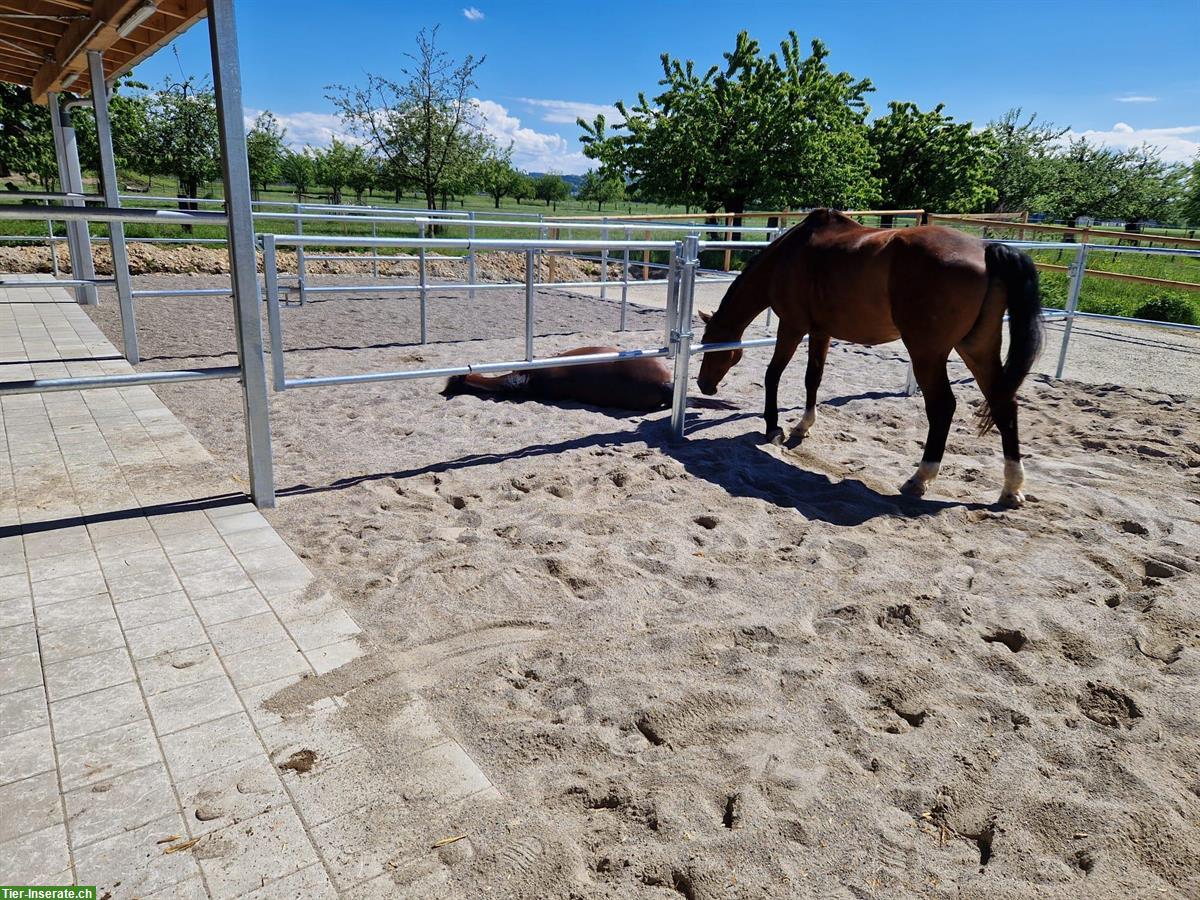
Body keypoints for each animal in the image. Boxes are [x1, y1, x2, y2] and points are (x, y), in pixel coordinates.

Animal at [696, 207, 1041, 511]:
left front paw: (773, 428)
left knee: (943, 406)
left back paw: (920, 478)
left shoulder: (792, 327)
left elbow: (773, 374)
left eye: (709, 346)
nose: (704, 385)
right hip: (976, 348)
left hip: (928, 353)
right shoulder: (821, 332)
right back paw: (1011, 490)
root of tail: (986, 250)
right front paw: (802, 427)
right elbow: (813, 378)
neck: (788, 256)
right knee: (1004, 403)